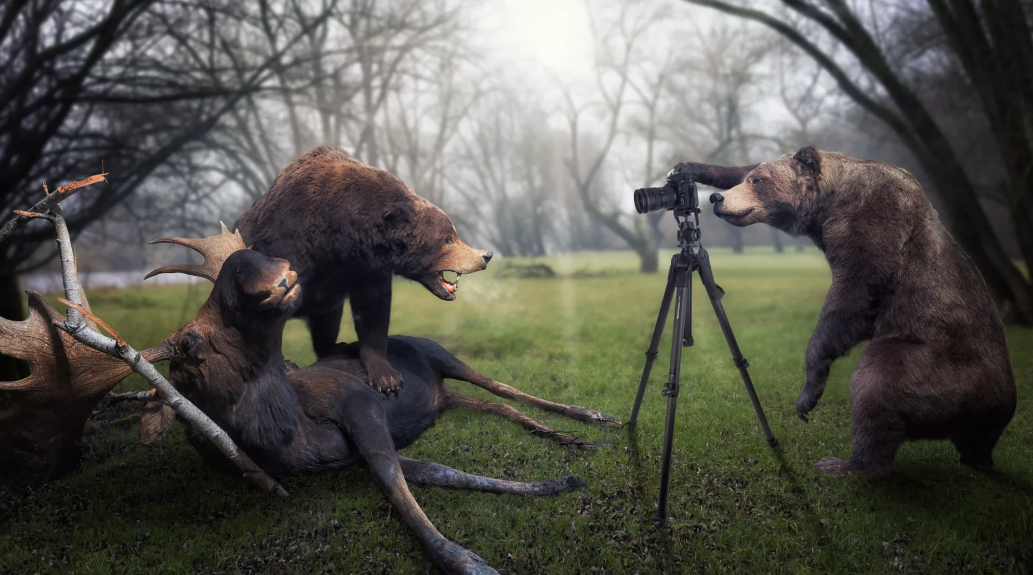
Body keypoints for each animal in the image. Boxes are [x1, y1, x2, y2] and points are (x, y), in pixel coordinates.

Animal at [141, 226, 615, 569]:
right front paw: (557, 483)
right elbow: (430, 473)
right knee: (494, 404)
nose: (267, 265)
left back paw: (591, 417)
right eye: (189, 344)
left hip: (444, 356)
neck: (288, 439)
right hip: (446, 398)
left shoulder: (360, 403)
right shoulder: (352, 453)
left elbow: (396, 481)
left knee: (501, 387)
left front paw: (468, 559)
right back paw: (561, 435)